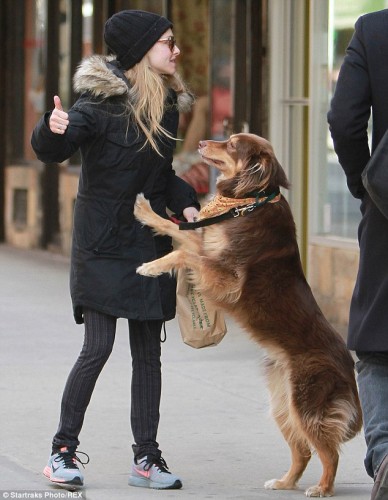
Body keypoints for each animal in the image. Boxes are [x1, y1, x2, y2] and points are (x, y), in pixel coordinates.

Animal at [134, 133, 364, 496]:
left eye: (231, 145)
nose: (201, 141)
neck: (249, 201)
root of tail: (348, 364)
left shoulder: (225, 279)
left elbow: (183, 252)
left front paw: (150, 265)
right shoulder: (208, 248)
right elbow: (178, 231)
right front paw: (147, 213)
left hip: (305, 404)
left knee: (329, 451)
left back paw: (322, 488)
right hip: (283, 404)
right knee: (303, 451)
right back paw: (285, 482)